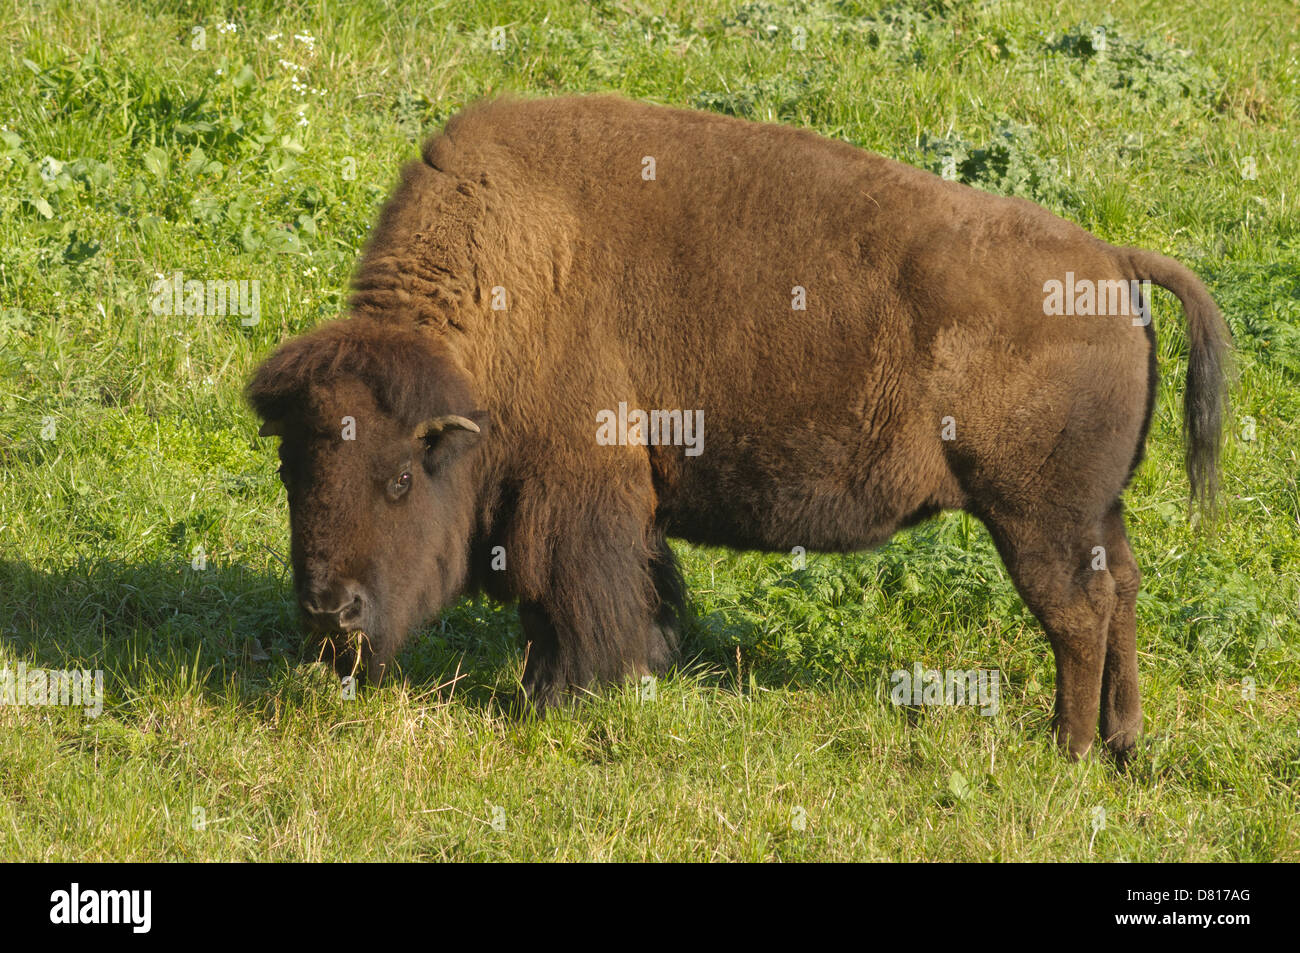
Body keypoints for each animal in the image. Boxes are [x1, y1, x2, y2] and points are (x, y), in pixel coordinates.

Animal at [250, 94, 1227, 759]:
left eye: (399, 477)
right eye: (293, 472)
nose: (328, 608)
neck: (503, 291)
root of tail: (1111, 263)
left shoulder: (574, 497)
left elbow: (575, 605)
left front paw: (558, 697)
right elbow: (632, 594)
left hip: (1037, 520)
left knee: (1079, 614)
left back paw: (1069, 745)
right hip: (1094, 514)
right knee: (1123, 592)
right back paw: (1123, 742)